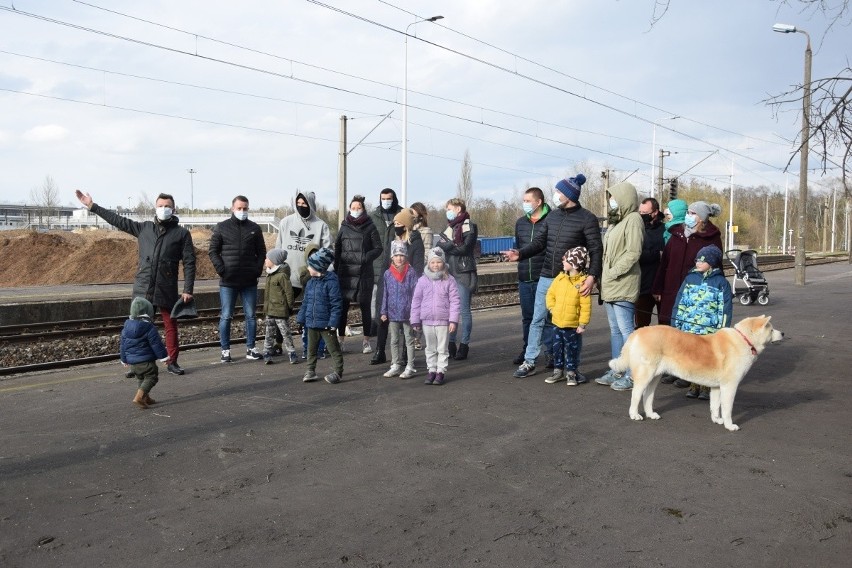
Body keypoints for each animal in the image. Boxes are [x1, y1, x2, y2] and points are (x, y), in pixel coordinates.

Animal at [604, 316, 784, 430]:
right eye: (771, 329)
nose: (783, 333)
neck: (744, 340)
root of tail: (638, 331)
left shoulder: (717, 388)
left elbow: (715, 406)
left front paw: (716, 420)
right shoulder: (729, 387)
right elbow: (727, 409)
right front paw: (729, 425)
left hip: (655, 376)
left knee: (647, 395)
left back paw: (651, 414)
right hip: (645, 374)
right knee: (636, 395)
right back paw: (634, 415)